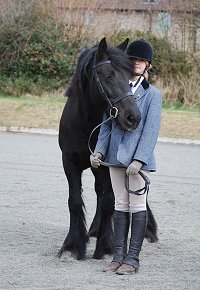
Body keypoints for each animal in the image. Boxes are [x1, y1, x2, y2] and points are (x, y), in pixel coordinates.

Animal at [58, 38, 158, 260]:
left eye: (128, 76)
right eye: (108, 75)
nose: (133, 118)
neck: (86, 123)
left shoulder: (111, 166)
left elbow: (109, 202)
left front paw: (105, 247)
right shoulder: (69, 162)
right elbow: (74, 201)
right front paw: (72, 245)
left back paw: (148, 230)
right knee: (99, 192)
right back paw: (94, 230)